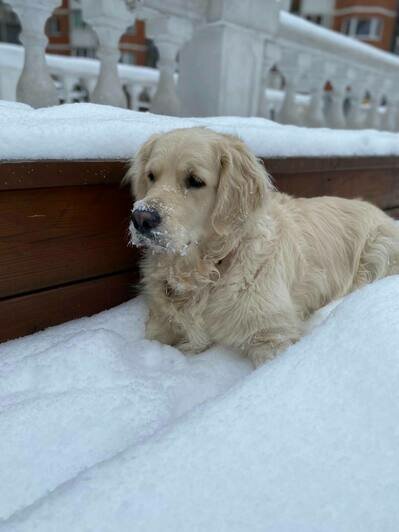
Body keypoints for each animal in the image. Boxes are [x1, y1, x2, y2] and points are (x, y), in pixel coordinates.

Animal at [126, 129, 399, 368]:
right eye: (151, 176)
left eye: (195, 181)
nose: (141, 218)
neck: (210, 268)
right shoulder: (160, 320)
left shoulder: (273, 334)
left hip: (378, 250)